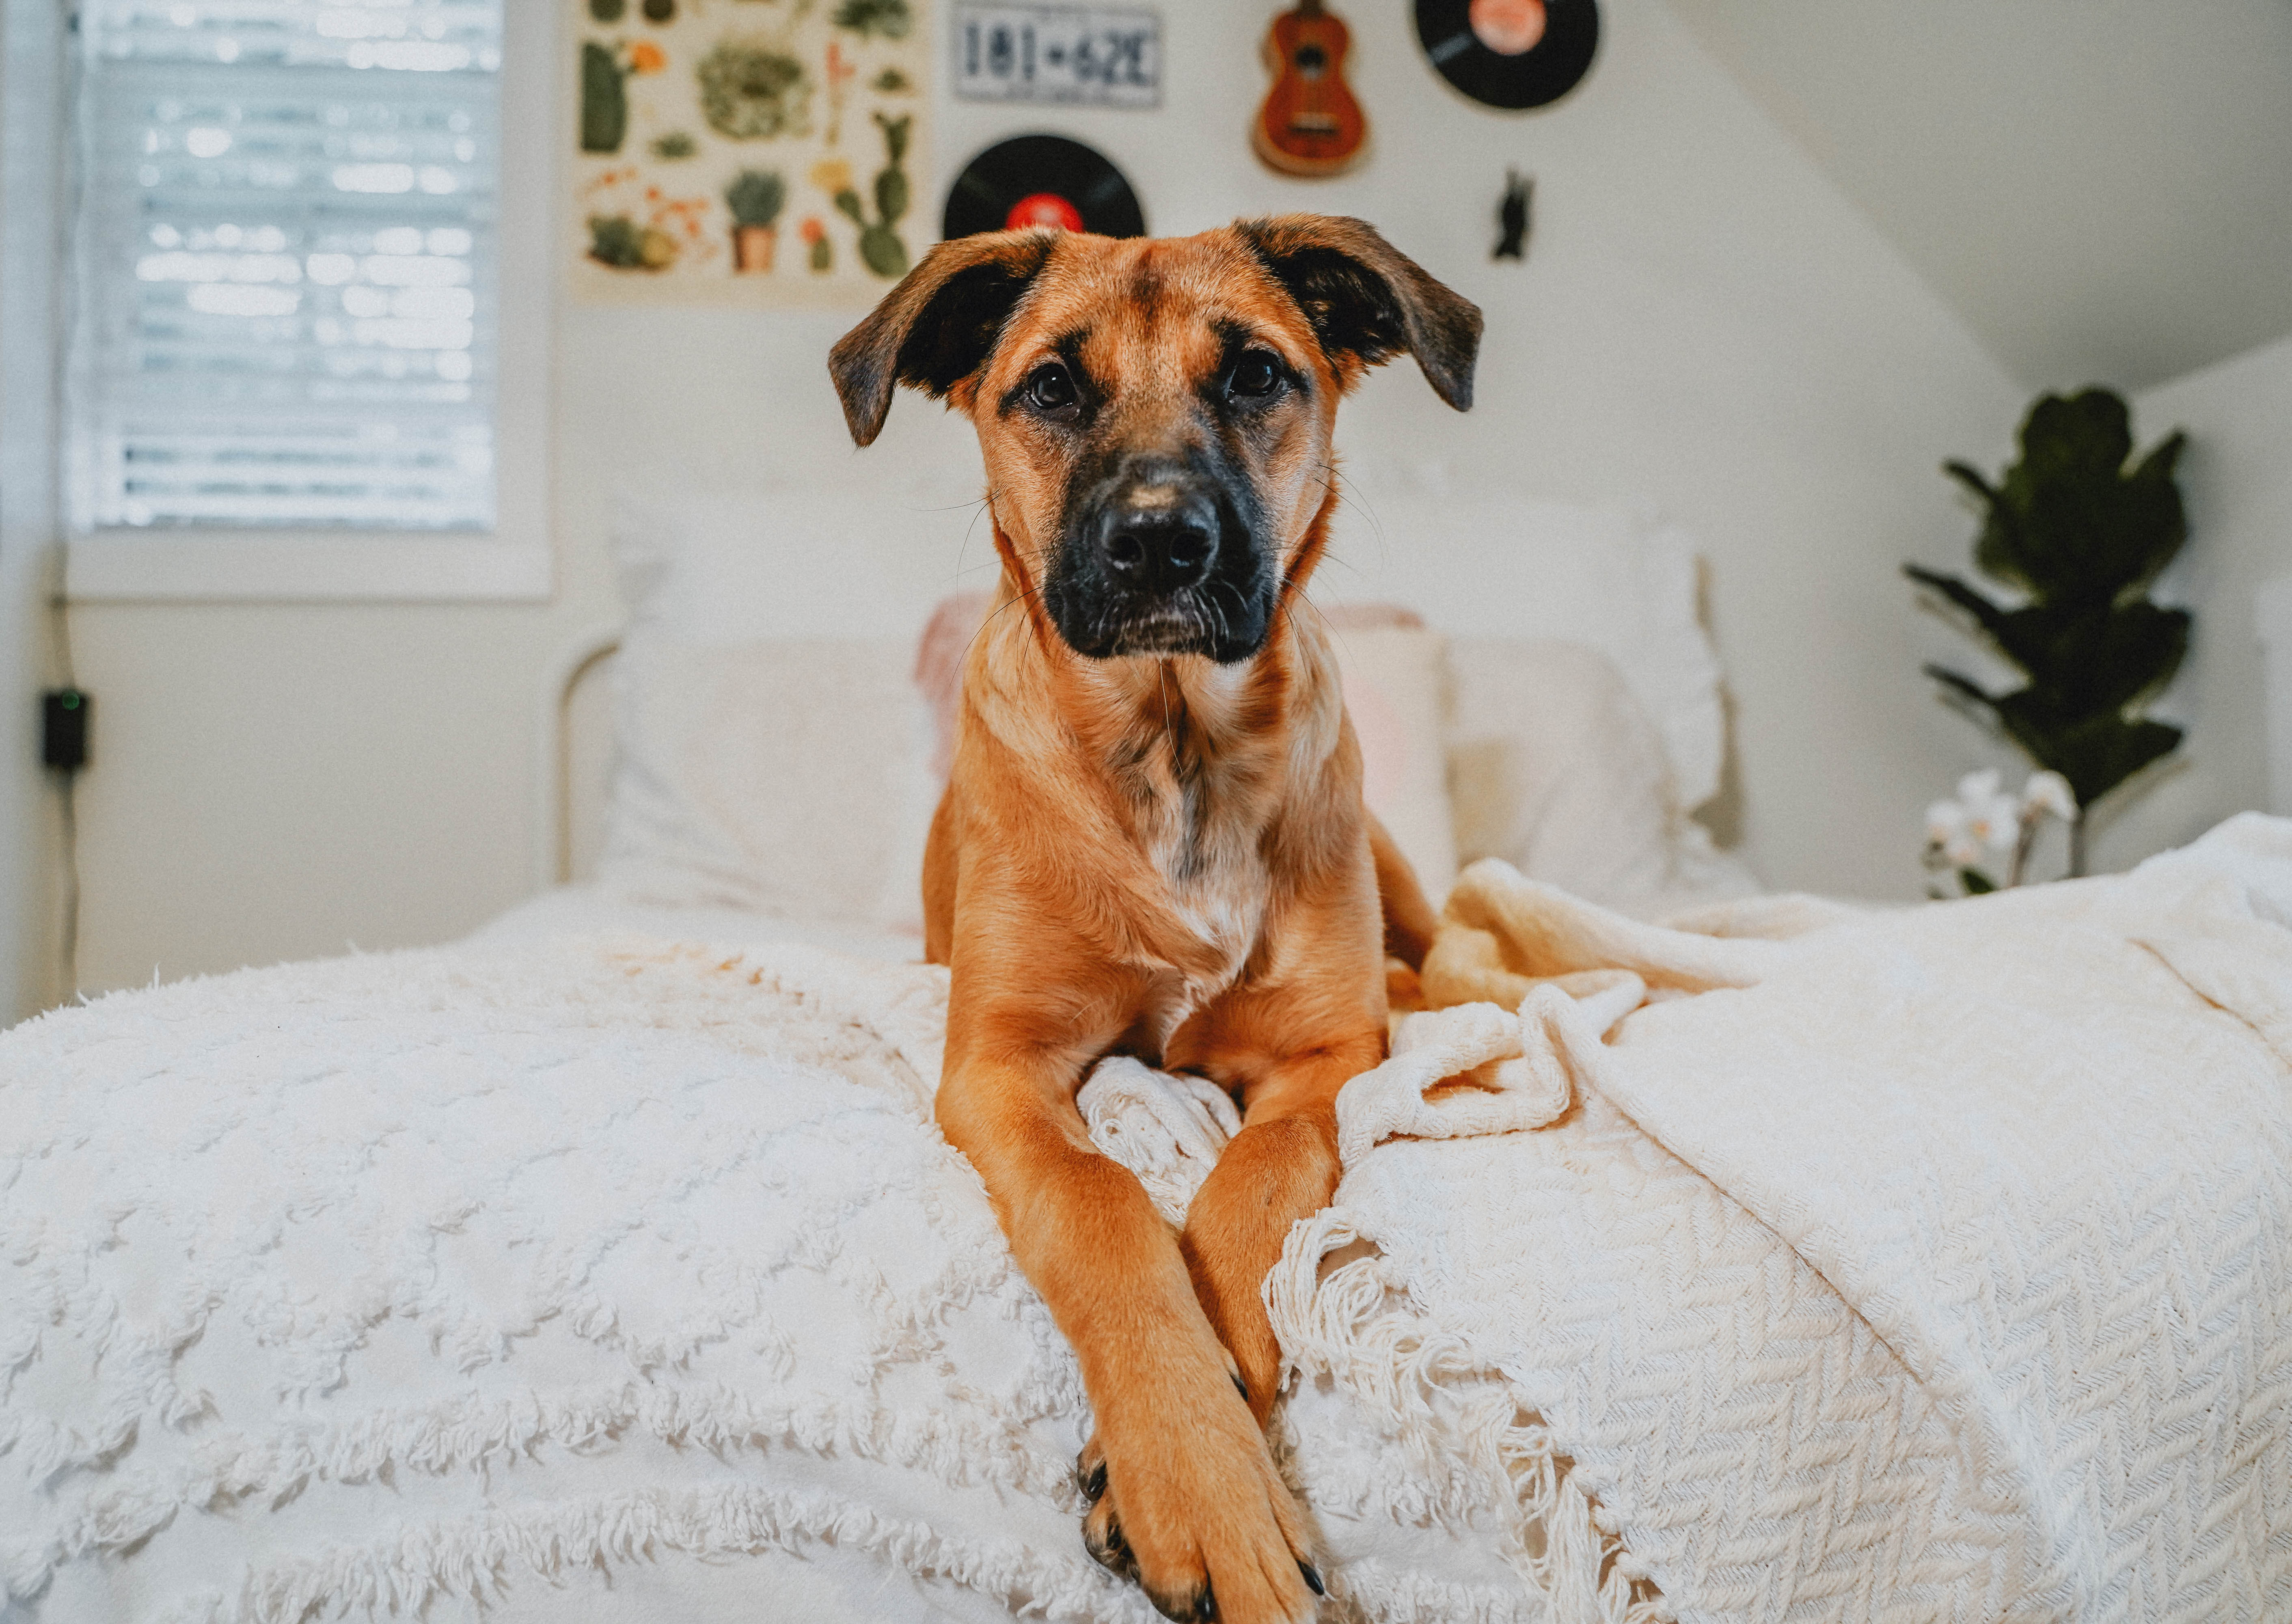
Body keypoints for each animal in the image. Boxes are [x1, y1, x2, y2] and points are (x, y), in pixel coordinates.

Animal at [834, 219, 1476, 1624]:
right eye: (1049, 388)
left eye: (1253, 374)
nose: (1159, 543)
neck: (1172, 743)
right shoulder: (998, 1066)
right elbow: (1103, 1203)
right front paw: (1196, 1477)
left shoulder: (1328, 1057)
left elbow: (1246, 1185)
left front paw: (1202, 1440)